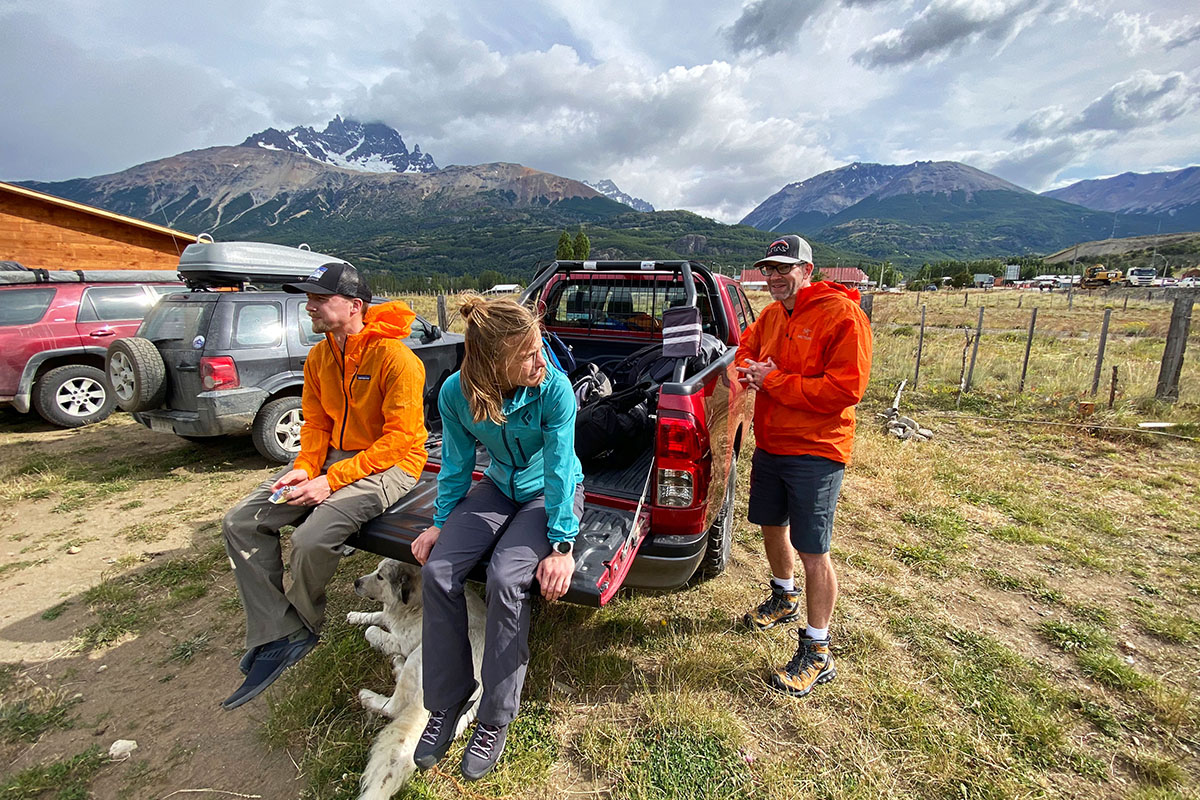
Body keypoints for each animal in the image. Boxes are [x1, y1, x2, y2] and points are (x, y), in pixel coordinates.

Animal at [348, 561, 482, 796]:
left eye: (380, 577)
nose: (356, 582)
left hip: (417, 656)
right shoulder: (389, 616)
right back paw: (396, 666)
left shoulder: (402, 642)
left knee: (394, 706)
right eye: (376, 569)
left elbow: (373, 630)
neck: (414, 603)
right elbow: (376, 615)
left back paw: (369, 695)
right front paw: (355, 616)